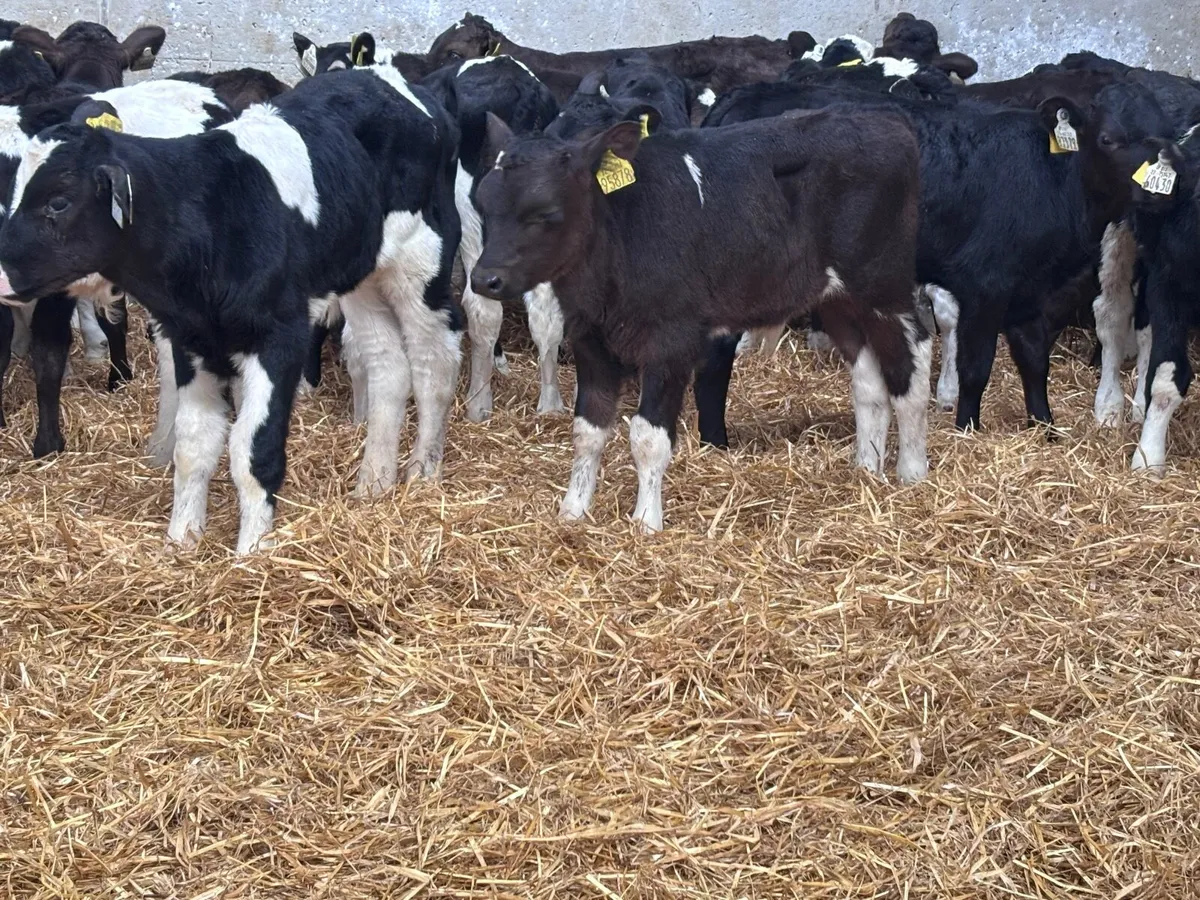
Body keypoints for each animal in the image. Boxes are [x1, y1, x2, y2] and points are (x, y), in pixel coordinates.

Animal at [0, 65, 462, 554]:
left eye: (58, 202)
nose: (0, 273)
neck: (211, 218)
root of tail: (394, 79)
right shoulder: (193, 339)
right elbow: (193, 444)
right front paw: (181, 540)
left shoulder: (280, 338)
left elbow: (253, 451)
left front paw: (251, 551)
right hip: (362, 276)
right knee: (387, 365)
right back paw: (374, 483)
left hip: (422, 265)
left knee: (434, 361)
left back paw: (423, 470)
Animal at [470, 104, 930, 532]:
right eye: (483, 204)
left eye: (544, 212)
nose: (483, 278)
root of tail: (886, 120)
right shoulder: (589, 337)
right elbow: (588, 430)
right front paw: (572, 511)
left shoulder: (671, 340)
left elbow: (648, 437)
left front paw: (645, 522)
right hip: (837, 298)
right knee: (868, 378)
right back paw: (866, 468)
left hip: (882, 285)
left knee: (914, 359)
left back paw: (911, 471)